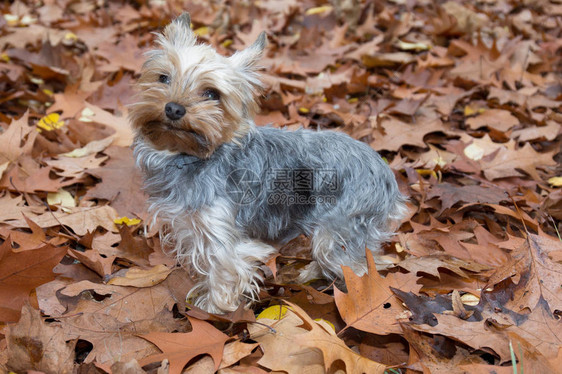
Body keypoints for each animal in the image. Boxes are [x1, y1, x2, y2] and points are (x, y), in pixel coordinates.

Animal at [128, 13, 406, 314]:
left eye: (212, 94)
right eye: (163, 78)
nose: (173, 108)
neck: (187, 155)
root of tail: (385, 171)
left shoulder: (223, 237)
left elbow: (223, 275)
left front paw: (214, 311)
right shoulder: (190, 226)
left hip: (340, 227)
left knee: (360, 268)